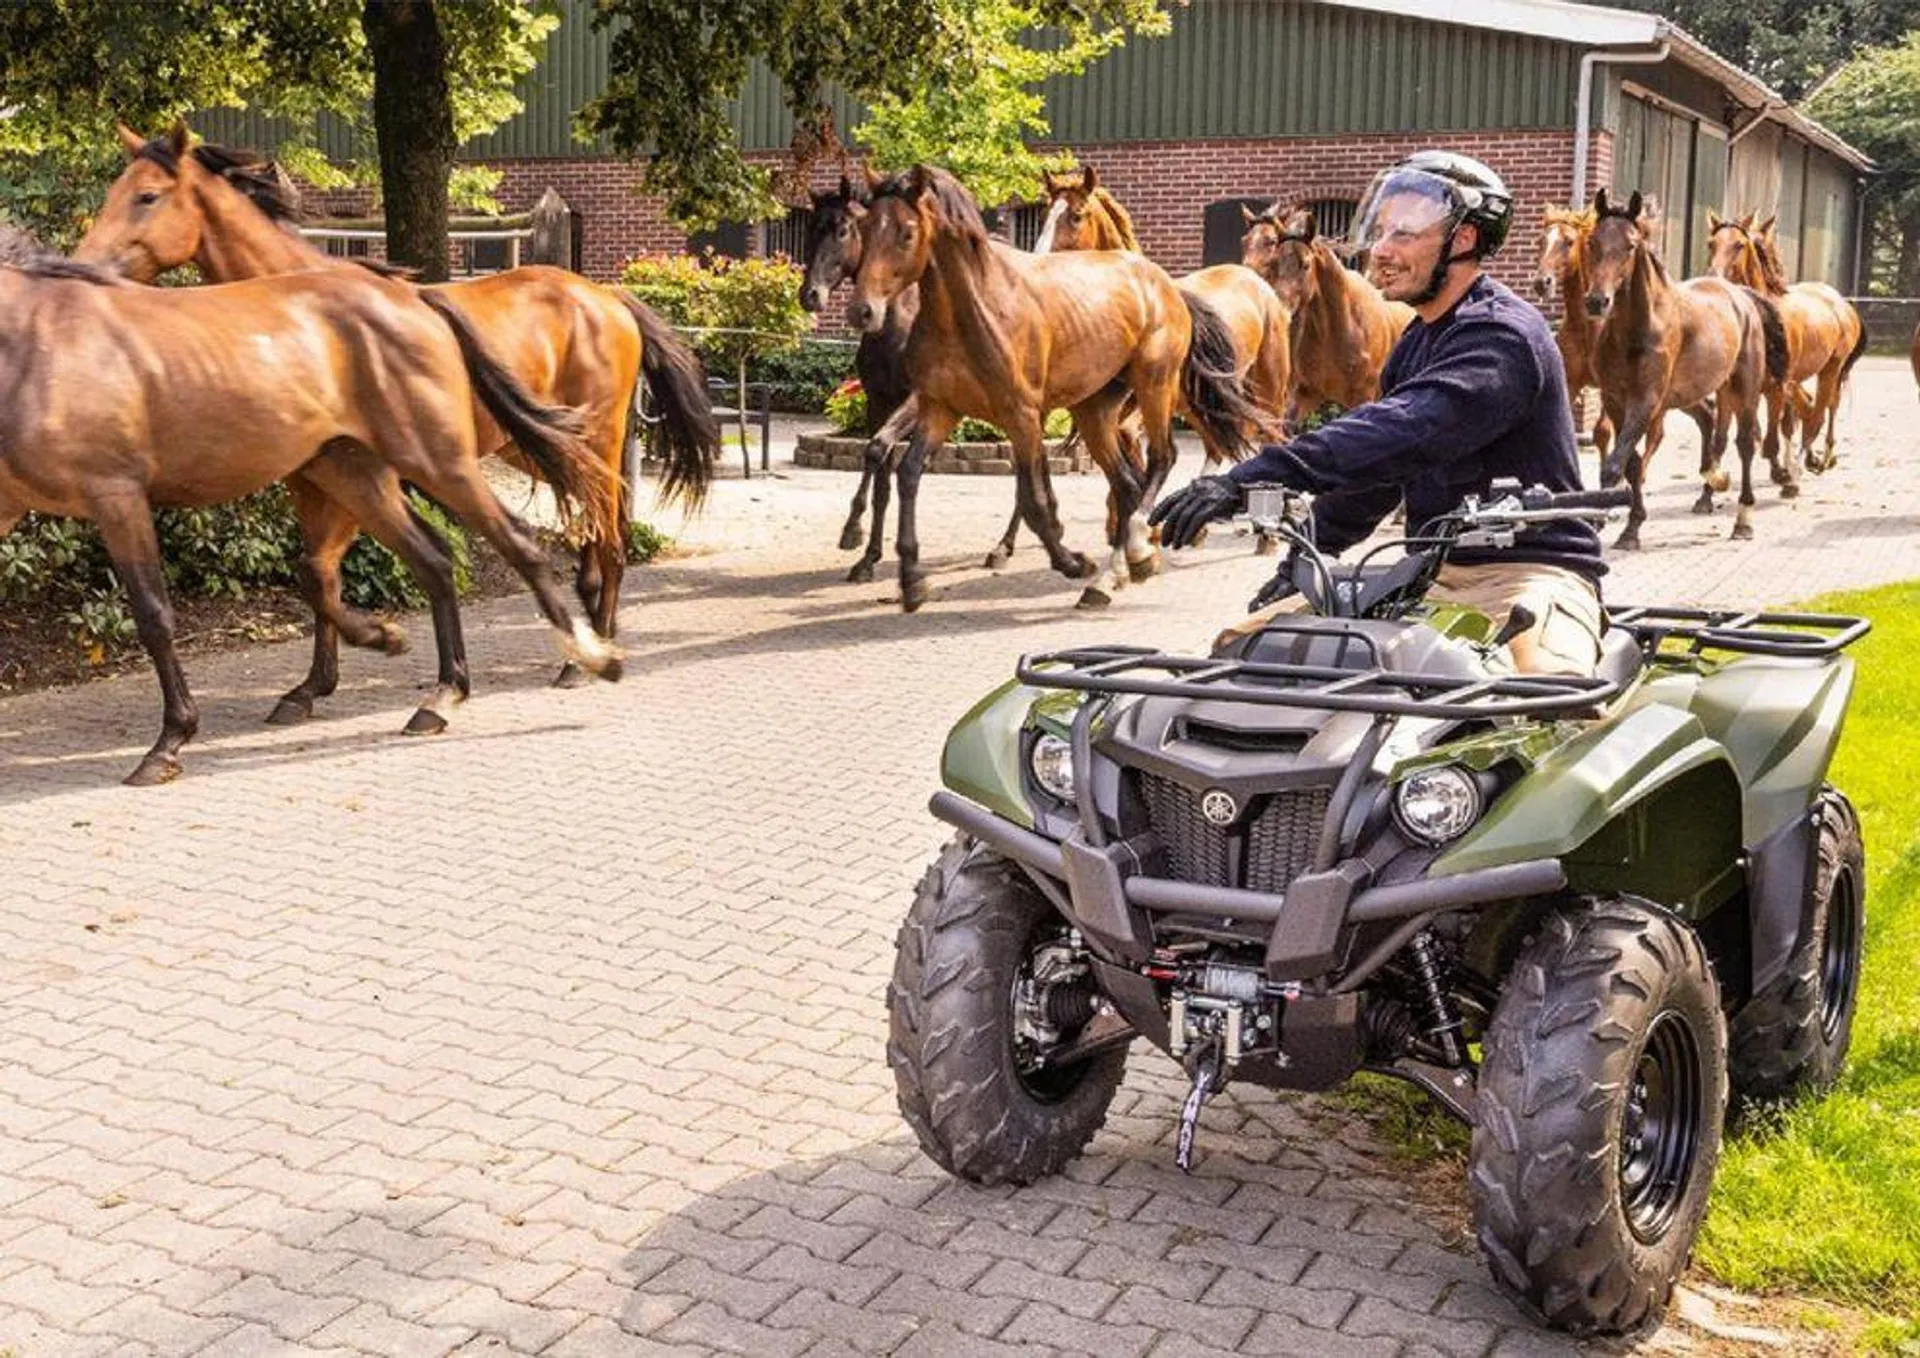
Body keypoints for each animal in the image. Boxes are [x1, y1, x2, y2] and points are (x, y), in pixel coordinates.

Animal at [0, 251, 618, 791]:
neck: (31, 343)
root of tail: (411, 294)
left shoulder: (117, 497)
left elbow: (154, 616)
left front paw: (169, 744)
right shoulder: (9, 508)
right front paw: (380, 636)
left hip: (437, 459)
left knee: (519, 544)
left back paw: (592, 657)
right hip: (352, 471)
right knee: (433, 560)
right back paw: (438, 693)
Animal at [74, 121, 721, 718]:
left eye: (147, 195)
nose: (83, 267)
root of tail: (610, 298)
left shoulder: (365, 475)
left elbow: (355, 570)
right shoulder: (314, 479)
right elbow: (317, 574)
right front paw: (311, 687)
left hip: (595, 442)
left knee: (611, 541)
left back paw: (584, 657)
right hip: (538, 449)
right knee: (592, 539)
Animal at [1036, 169, 1290, 472]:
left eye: (1076, 215)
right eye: (1044, 214)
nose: (1036, 261)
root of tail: (1256, 281)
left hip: (1269, 393)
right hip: (1197, 405)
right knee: (1217, 448)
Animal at [1712, 215, 1858, 480]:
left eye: (1739, 244)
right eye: (1711, 243)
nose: (1713, 276)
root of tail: (1841, 303)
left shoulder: (1778, 386)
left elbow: (1779, 431)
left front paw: (1784, 470)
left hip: (1832, 369)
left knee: (1823, 410)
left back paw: (1814, 461)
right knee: (1809, 411)